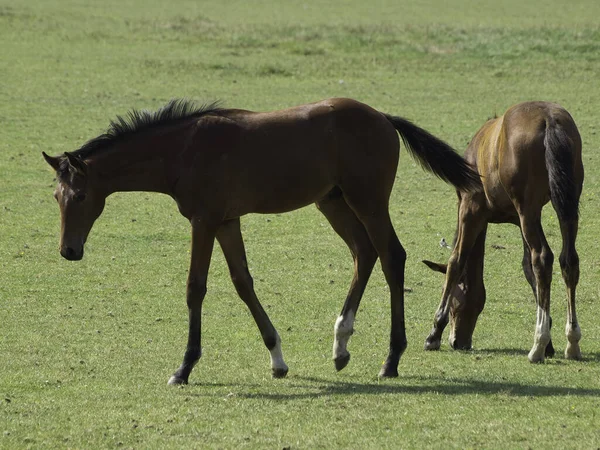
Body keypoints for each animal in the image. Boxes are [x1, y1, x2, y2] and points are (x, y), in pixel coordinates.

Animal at [43, 97, 482, 384]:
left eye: (79, 196)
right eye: (55, 197)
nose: (69, 250)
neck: (182, 150)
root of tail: (383, 118)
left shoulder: (204, 221)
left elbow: (195, 288)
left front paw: (184, 368)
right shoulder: (227, 221)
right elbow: (243, 282)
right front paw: (277, 359)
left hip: (368, 201)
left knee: (391, 256)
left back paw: (391, 359)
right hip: (333, 202)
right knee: (364, 253)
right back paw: (340, 345)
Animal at [420, 102, 584, 362]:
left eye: (457, 301)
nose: (458, 342)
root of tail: (548, 119)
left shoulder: (470, 209)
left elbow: (457, 260)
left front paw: (434, 333)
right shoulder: (520, 219)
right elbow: (528, 269)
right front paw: (550, 342)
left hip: (528, 208)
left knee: (543, 258)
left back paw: (537, 345)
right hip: (565, 205)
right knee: (568, 260)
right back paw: (572, 342)